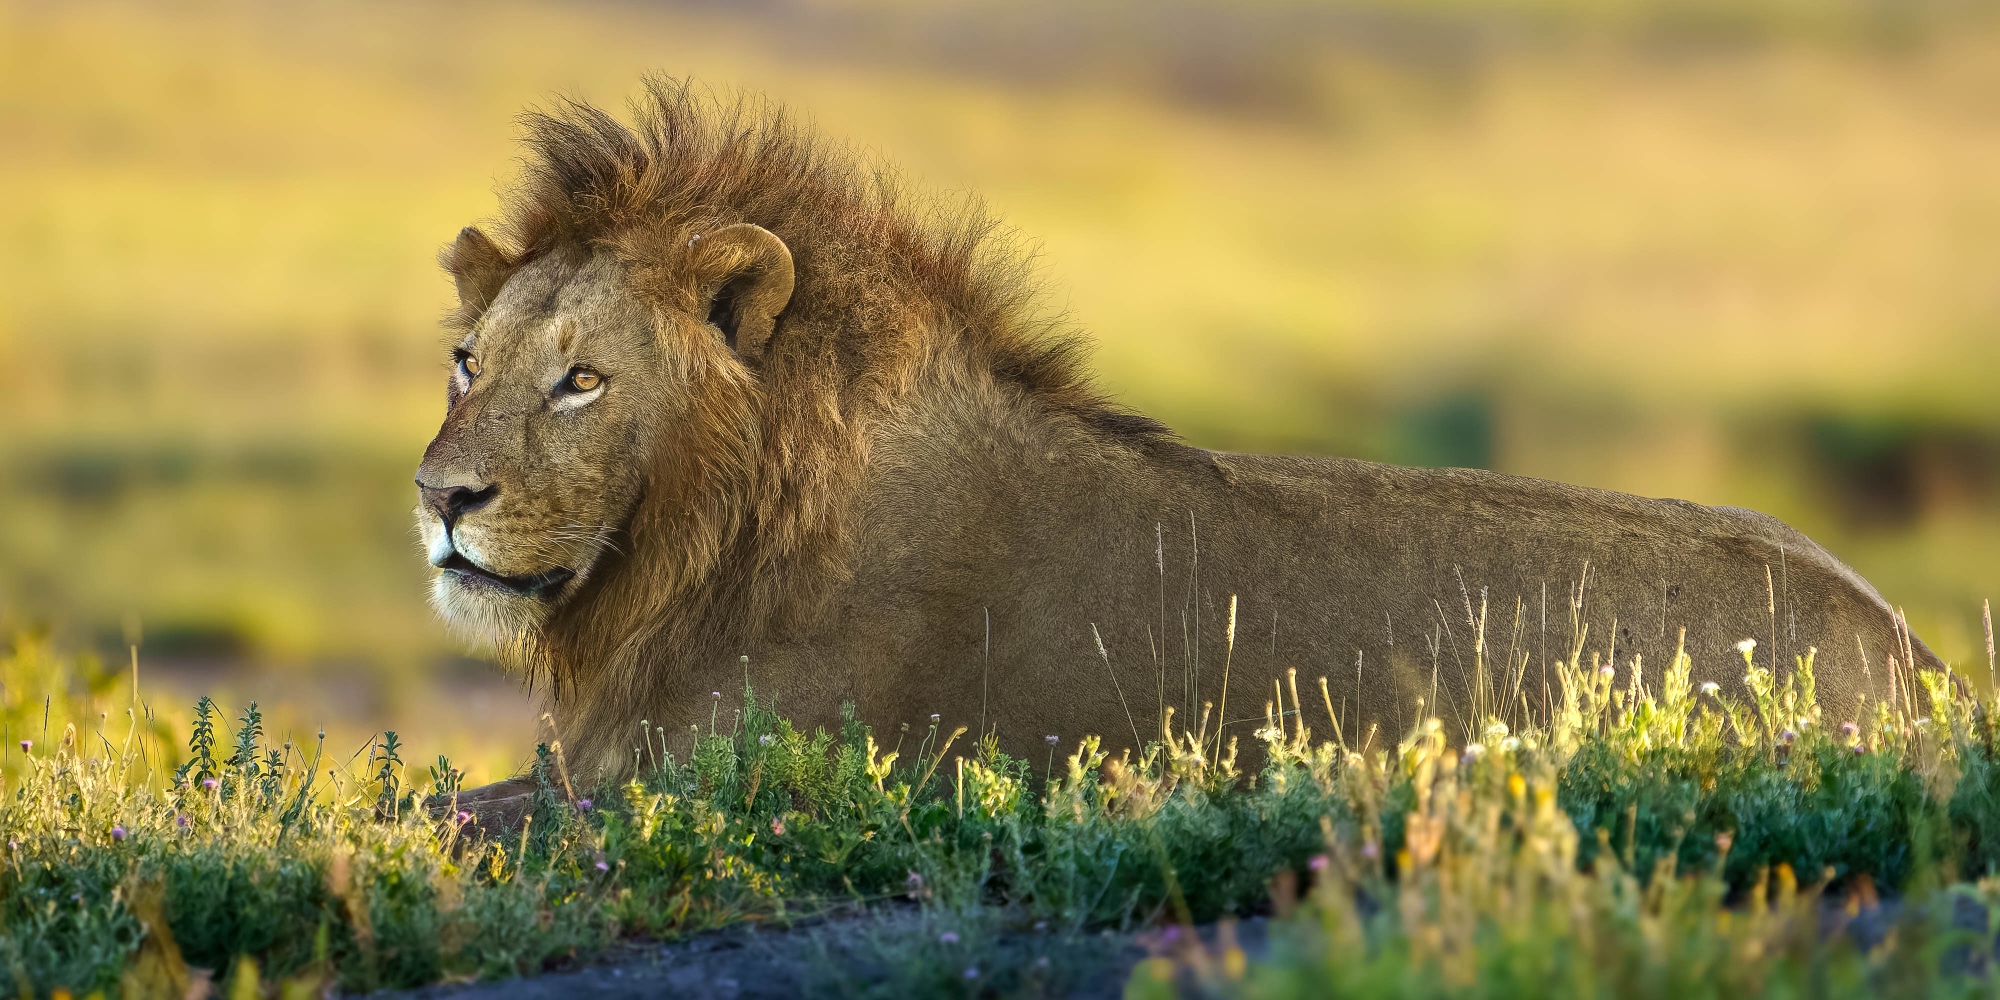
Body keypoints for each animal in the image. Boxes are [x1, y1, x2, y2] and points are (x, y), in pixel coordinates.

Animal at [416, 80, 1946, 817]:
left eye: (583, 381)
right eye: (468, 362)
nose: (440, 496)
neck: (693, 549)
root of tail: (1919, 659)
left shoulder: (706, 775)